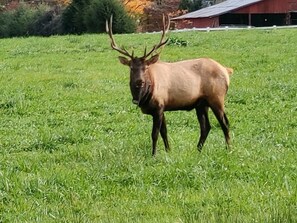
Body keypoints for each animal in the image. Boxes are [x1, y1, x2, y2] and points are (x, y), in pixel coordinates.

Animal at [105, 14, 232, 156]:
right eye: (131, 68)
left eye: (145, 67)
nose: (139, 81)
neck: (144, 97)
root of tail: (226, 70)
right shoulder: (162, 107)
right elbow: (164, 132)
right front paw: (168, 151)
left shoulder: (159, 106)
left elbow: (154, 134)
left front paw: (153, 154)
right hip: (201, 104)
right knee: (206, 127)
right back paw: (197, 150)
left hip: (217, 97)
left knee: (225, 123)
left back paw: (228, 149)